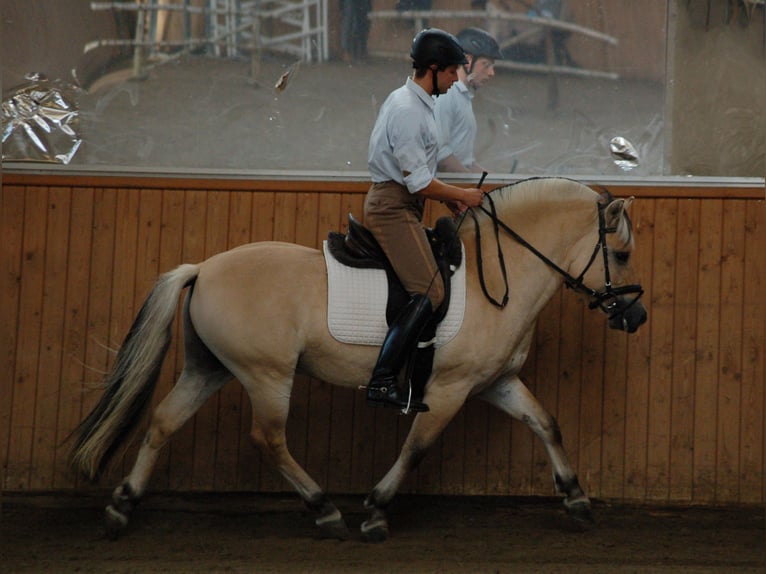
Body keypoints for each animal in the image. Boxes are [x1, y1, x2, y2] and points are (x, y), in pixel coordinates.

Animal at [70, 176, 647, 542]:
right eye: (620, 255)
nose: (635, 317)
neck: (499, 278)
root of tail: (203, 268)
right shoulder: (449, 388)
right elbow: (416, 448)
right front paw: (375, 510)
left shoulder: (494, 382)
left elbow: (546, 423)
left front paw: (576, 499)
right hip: (267, 374)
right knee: (268, 439)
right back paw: (325, 511)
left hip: (209, 367)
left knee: (164, 422)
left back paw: (122, 508)